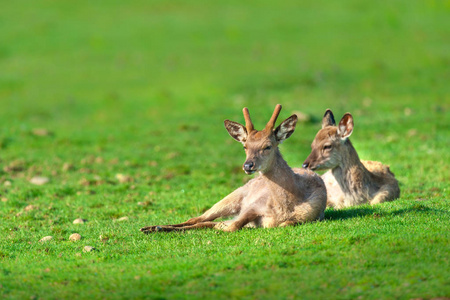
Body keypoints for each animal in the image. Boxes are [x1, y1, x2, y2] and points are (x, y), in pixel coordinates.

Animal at [141, 104, 326, 233]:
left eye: (268, 146)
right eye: (245, 146)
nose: (248, 165)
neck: (286, 206)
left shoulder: (308, 215)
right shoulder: (253, 206)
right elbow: (230, 225)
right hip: (234, 195)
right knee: (197, 218)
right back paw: (151, 227)